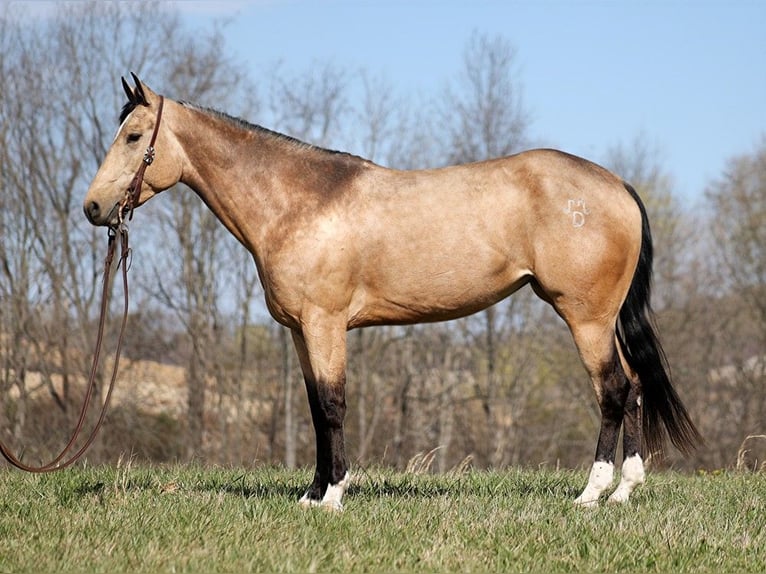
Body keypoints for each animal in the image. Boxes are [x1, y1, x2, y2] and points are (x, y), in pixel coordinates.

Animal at [82, 74, 704, 510]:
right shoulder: (302, 333)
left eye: (133, 136)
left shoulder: (326, 324)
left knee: (614, 390)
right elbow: (315, 408)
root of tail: (616, 185)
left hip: (586, 318)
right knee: (635, 387)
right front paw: (311, 494)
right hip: (602, 320)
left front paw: (334, 496)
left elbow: (333, 404)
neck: (300, 201)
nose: (92, 208)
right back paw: (623, 491)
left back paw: (591, 494)